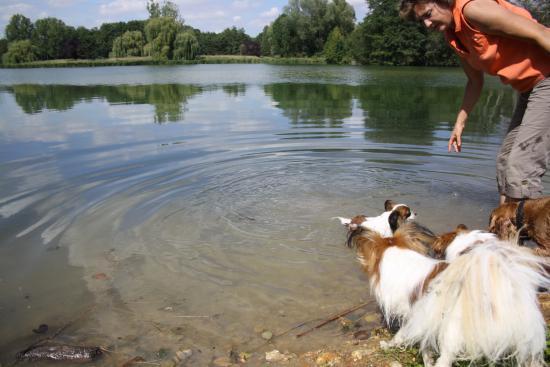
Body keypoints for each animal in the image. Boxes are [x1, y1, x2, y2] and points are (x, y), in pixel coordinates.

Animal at [342, 221, 548, 367]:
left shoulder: (416, 317)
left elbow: (402, 336)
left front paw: (389, 345)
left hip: (452, 331)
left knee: (446, 359)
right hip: (525, 339)